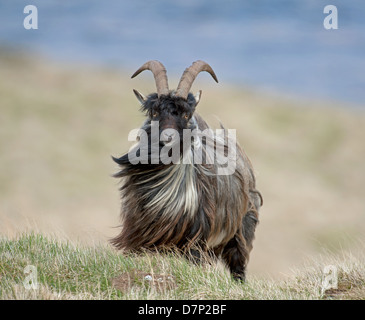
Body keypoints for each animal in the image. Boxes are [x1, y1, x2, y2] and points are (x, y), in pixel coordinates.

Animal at [111, 60, 262, 280]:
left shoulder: (196, 237)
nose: (167, 138)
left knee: (238, 264)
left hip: (241, 230)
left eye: (185, 114)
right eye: (154, 113)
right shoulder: (139, 230)